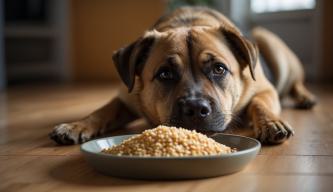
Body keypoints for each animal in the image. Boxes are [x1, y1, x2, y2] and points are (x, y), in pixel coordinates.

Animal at [49, 6, 314, 146]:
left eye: (219, 69)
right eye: (165, 74)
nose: (196, 108)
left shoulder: (264, 89)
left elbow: (259, 103)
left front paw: (271, 122)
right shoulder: (126, 97)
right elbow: (103, 110)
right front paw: (76, 125)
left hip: (272, 45)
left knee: (296, 82)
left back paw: (305, 98)